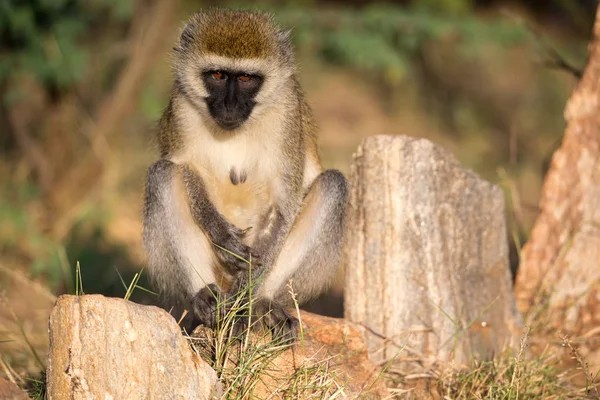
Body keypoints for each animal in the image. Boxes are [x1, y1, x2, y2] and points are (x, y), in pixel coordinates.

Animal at [142, 8, 346, 340]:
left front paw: (249, 286)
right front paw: (223, 236)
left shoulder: (287, 112)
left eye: (247, 78)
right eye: (217, 75)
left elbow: (284, 202)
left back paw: (258, 302)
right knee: (162, 174)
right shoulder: (181, 104)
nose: (230, 104)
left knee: (333, 184)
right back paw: (205, 299)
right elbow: (181, 167)